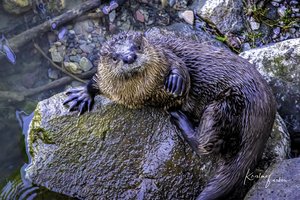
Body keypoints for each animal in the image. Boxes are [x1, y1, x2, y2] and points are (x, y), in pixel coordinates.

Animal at [62, 30, 276, 199]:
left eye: (138, 46)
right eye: (115, 57)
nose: (129, 57)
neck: (141, 94)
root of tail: (263, 112)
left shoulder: (165, 55)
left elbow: (180, 67)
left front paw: (175, 80)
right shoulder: (108, 84)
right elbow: (95, 81)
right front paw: (82, 95)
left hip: (224, 104)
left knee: (204, 144)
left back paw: (179, 118)